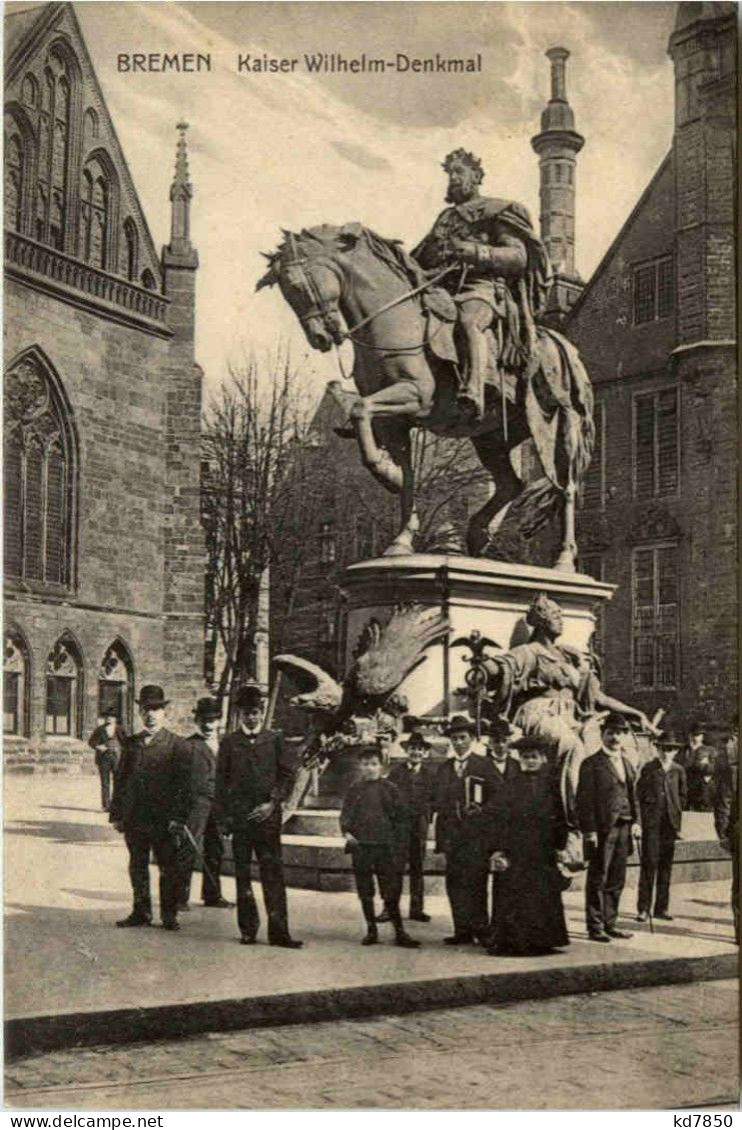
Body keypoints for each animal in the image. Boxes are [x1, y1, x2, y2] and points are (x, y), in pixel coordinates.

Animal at [257, 223, 591, 569]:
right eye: (285, 292)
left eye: (297, 285)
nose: (322, 337)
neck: (398, 320)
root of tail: (565, 346)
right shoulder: (395, 422)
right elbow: (401, 470)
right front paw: (401, 536)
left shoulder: (414, 396)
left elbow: (360, 409)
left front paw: (388, 476)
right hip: (492, 438)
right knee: (511, 483)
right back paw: (477, 534)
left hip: (561, 430)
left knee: (566, 487)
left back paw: (564, 559)